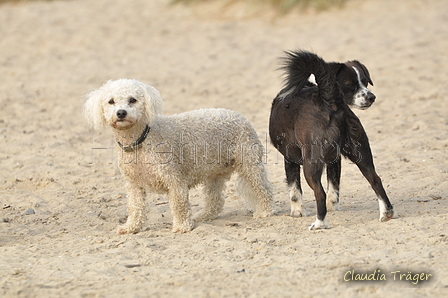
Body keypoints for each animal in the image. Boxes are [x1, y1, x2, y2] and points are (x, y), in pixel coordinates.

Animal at [82, 79, 274, 235]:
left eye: (132, 100)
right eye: (111, 101)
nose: (121, 112)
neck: (141, 140)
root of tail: (237, 115)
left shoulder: (174, 179)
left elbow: (179, 204)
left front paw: (182, 226)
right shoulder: (133, 184)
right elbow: (135, 207)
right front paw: (131, 227)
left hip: (249, 163)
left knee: (264, 189)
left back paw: (265, 212)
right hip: (213, 173)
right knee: (215, 200)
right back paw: (203, 216)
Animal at [270, 50, 392, 229]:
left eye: (365, 82)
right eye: (350, 84)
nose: (371, 97)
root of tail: (330, 101)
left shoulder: (289, 159)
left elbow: (294, 190)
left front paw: (298, 212)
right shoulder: (335, 160)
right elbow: (334, 189)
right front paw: (333, 207)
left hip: (310, 164)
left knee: (319, 192)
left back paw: (319, 223)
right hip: (362, 154)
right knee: (375, 180)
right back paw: (386, 213)